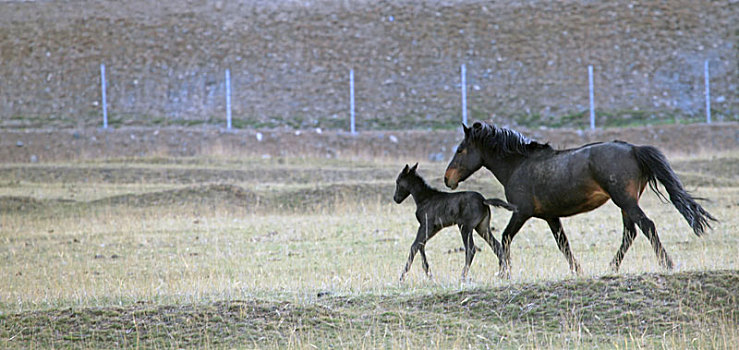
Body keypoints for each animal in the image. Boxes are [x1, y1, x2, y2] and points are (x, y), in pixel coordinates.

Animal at [446, 121, 716, 278]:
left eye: (460, 150)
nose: (448, 179)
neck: (518, 165)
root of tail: (633, 149)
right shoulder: (550, 217)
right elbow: (563, 244)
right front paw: (578, 270)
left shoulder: (521, 212)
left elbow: (504, 238)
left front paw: (504, 273)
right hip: (626, 204)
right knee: (630, 233)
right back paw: (611, 268)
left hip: (625, 201)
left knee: (647, 226)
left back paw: (666, 263)